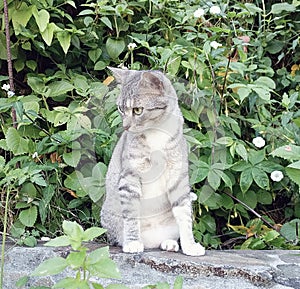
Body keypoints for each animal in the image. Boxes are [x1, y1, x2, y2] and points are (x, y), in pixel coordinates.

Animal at [101, 68, 206, 256]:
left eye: (137, 110)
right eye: (120, 108)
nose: (125, 126)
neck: (157, 131)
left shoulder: (178, 179)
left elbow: (184, 216)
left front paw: (190, 246)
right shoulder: (130, 177)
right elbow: (131, 215)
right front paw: (133, 242)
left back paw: (169, 244)